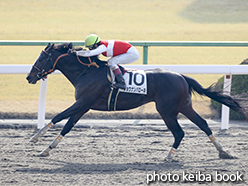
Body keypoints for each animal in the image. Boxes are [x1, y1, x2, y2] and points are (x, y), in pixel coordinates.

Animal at [26, 42, 246, 161]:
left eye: (41, 58)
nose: (29, 77)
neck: (86, 72)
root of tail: (182, 76)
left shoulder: (82, 103)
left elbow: (58, 116)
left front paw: (35, 138)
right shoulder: (83, 106)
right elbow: (67, 126)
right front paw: (47, 149)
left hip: (167, 111)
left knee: (179, 132)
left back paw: (169, 155)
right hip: (185, 106)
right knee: (203, 124)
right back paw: (223, 152)